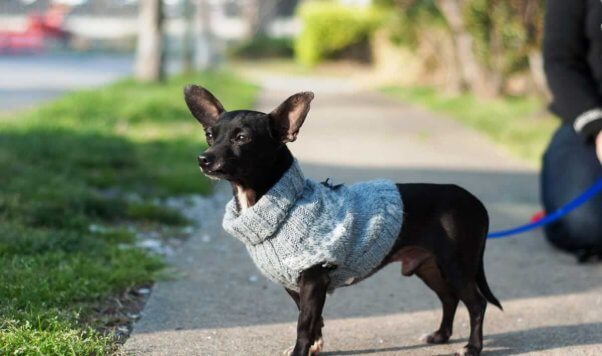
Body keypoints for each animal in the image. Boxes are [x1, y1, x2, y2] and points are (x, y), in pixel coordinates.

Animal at [184, 85, 502, 356]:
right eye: (210, 135)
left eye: (242, 138)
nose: (203, 159)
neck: (282, 204)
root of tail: (474, 202)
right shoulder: (296, 284)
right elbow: (314, 320)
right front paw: (314, 347)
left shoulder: (313, 278)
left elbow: (304, 324)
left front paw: (301, 350)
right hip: (430, 266)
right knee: (449, 298)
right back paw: (441, 335)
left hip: (456, 264)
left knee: (476, 303)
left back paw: (472, 347)